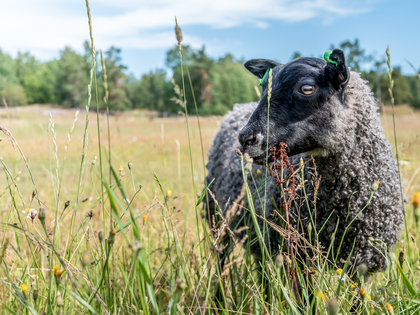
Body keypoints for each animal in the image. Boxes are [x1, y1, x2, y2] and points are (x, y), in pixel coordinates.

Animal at [205, 50, 406, 306]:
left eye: (307, 88)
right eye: (264, 88)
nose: (246, 139)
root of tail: (235, 110)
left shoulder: (363, 263)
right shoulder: (299, 256)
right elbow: (306, 303)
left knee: (261, 269)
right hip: (219, 220)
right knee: (221, 263)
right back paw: (218, 301)